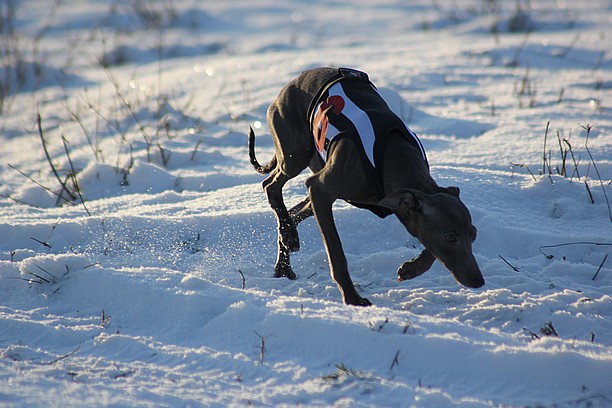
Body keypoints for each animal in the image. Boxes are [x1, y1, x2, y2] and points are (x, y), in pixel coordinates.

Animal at [247, 67, 482, 304]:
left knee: (293, 213)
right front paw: (352, 298)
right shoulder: (319, 190)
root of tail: (294, 80)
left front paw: (412, 268)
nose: (478, 281)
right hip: (296, 154)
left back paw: (284, 260)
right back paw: (288, 238)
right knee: (271, 185)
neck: (392, 157)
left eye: (473, 234)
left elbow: (428, 244)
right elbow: (337, 253)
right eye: (450, 237)